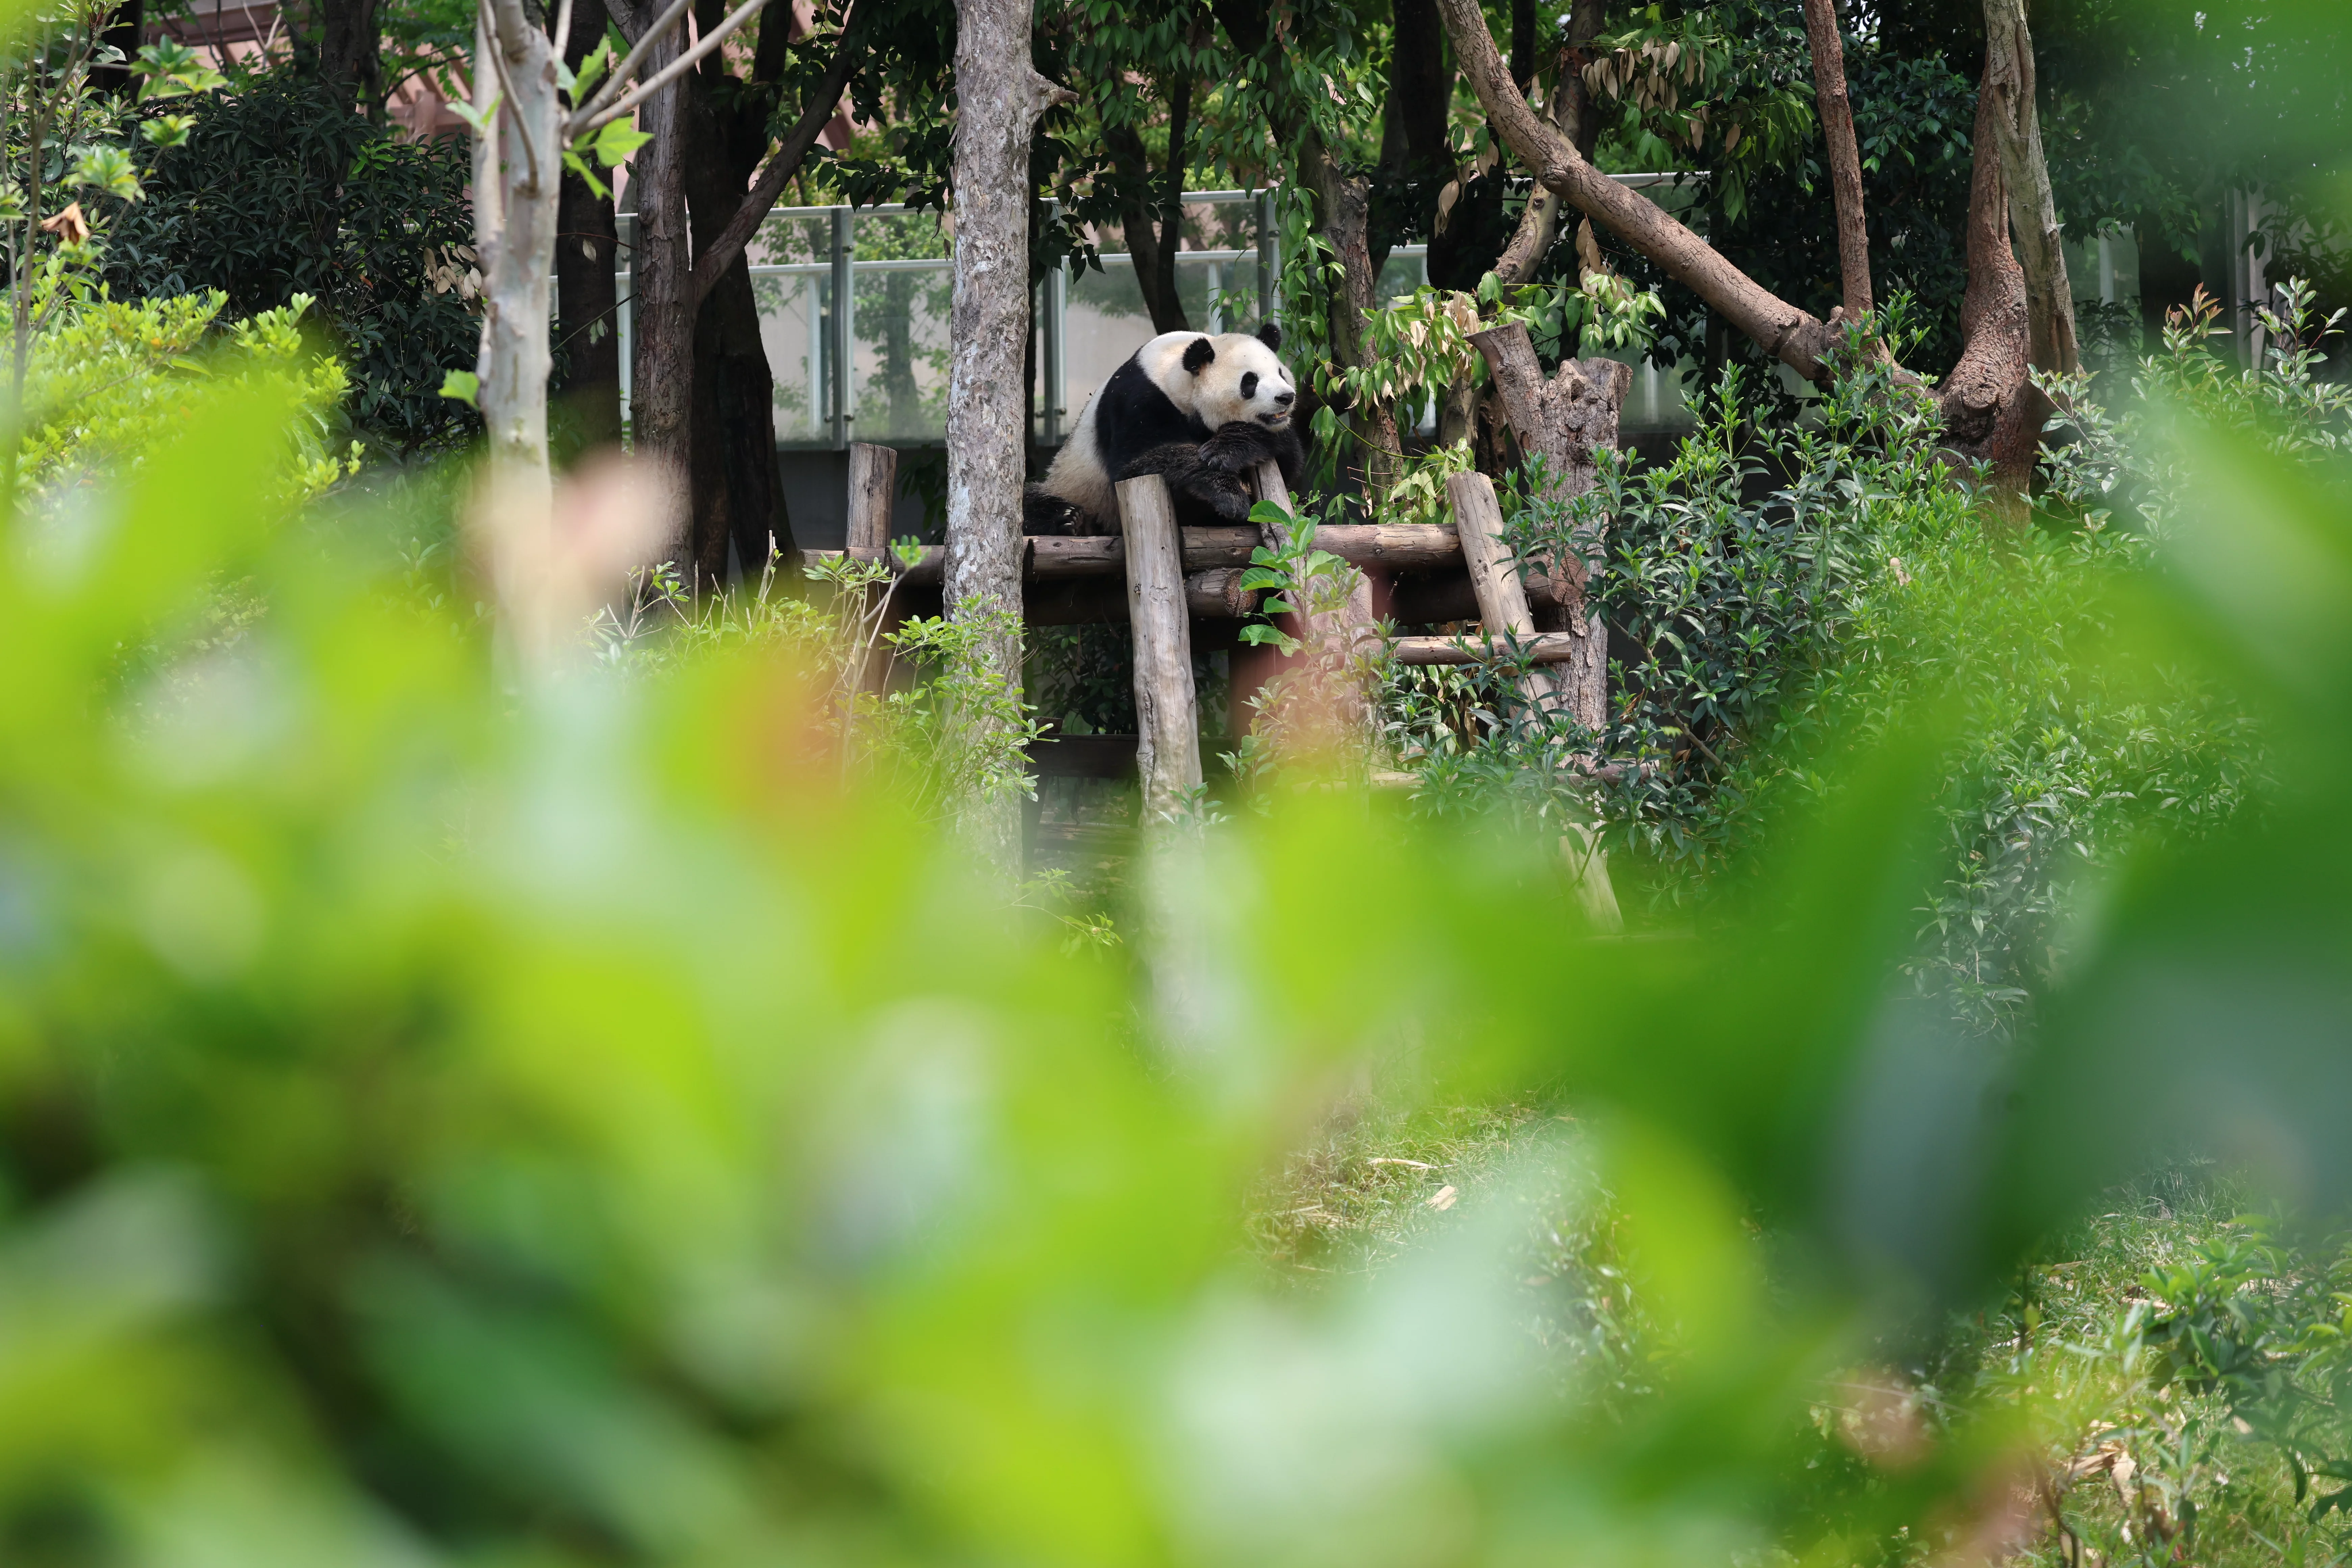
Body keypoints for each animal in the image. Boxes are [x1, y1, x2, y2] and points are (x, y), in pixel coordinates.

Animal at [1024, 322, 1306, 536]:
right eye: (1250, 382)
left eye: (1281, 373)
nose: (1286, 397)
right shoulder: (1137, 402)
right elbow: (1137, 464)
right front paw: (1230, 497)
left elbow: (1288, 465)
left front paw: (1230, 447)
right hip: (1074, 487)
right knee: (1031, 503)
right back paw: (1070, 521)